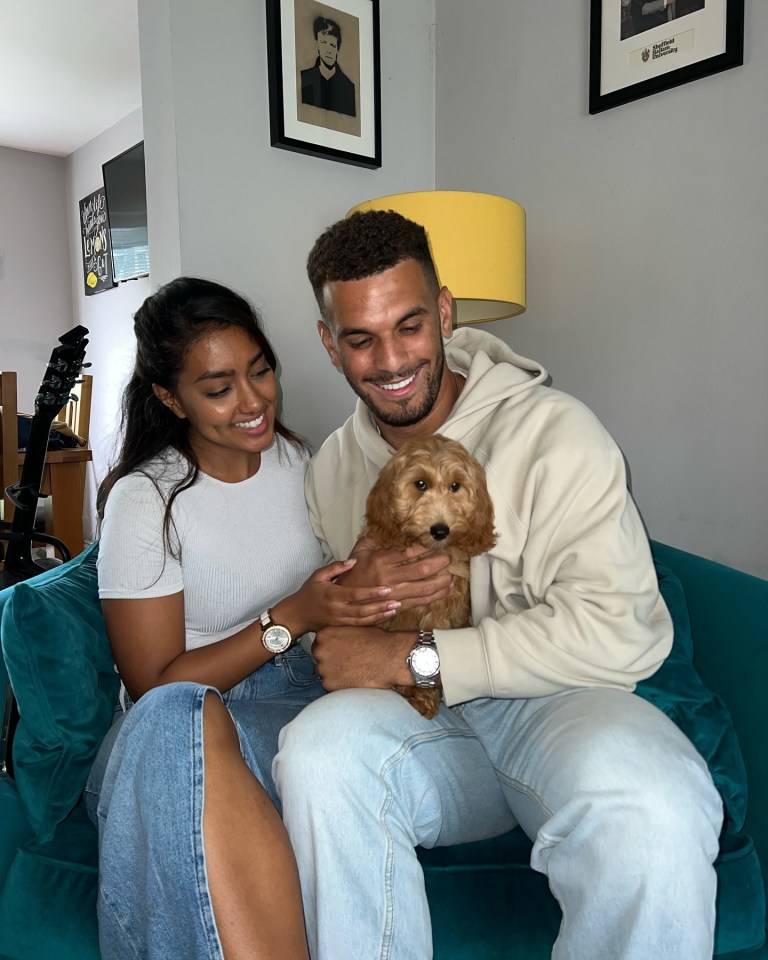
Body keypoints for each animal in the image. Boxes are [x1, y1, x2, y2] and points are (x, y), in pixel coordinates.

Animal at [362, 438, 496, 716]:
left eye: (455, 486)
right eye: (420, 484)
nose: (440, 530)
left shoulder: (445, 607)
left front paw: (422, 696)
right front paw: (414, 694)